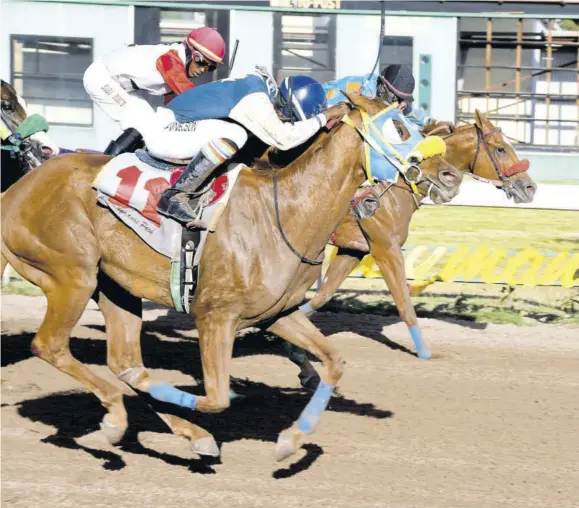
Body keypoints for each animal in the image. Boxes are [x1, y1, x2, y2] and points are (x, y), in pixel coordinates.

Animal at [0, 94, 462, 460]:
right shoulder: (214, 316)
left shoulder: (279, 313)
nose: (450, 176)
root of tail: (15, 191)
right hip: (71, 274)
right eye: (400, 127)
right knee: (51, 346)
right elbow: (217, 398)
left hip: (114, 286)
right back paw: (115, 419)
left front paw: (293, 439)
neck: (285, 212)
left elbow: (333, 361)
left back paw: (173, 429)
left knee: (126, 365)